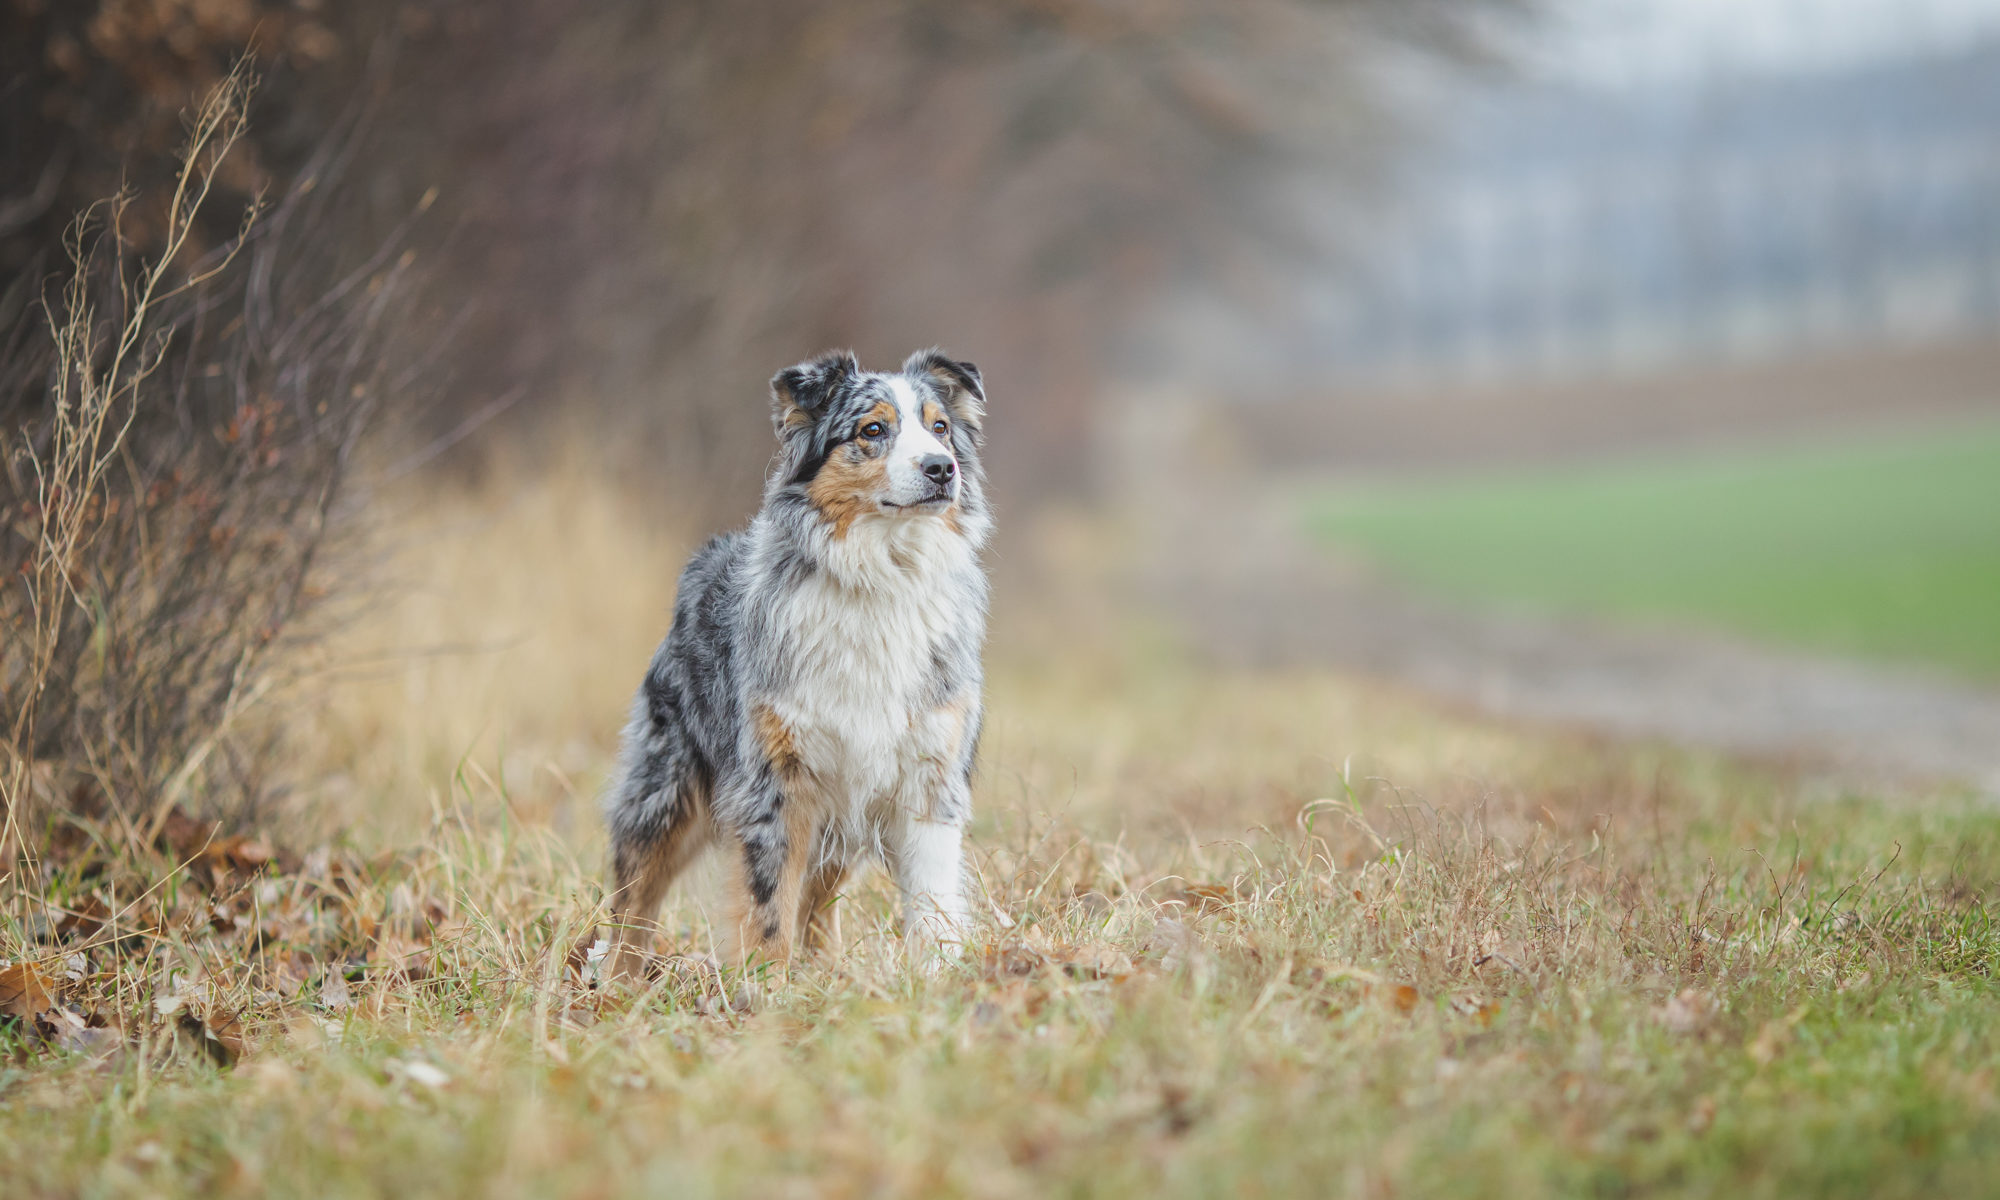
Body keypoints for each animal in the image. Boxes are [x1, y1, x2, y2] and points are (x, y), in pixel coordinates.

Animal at [600, 350, 992, 984]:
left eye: (940, 428)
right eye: (872, 430)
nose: (942, 468)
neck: (881, 580)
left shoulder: (928, 773)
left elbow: (932, 900)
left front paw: (937, 981)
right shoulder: (776, 780)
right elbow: (767, 905)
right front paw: (766, 988)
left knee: (819, 897)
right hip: (665, 789)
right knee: (633, 901)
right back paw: (616, 984)